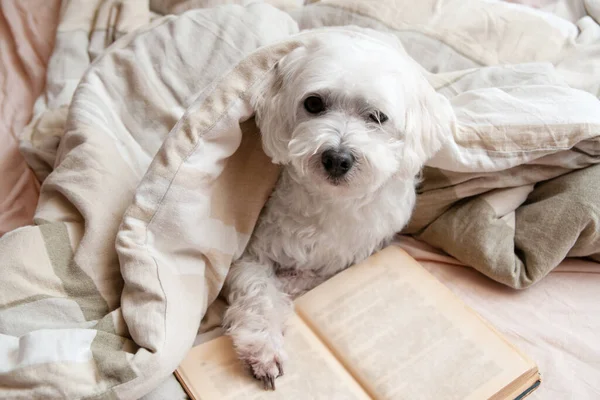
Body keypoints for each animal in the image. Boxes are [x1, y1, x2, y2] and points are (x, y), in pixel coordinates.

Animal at [223, 29, 452, 390]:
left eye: (377, 116)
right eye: (313, 103)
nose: (337, 158)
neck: (329, 205)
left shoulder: (352, 254)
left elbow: (311, 278)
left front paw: (291, 283)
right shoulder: (250, 253)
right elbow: (259, 291)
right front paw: (264, 348)